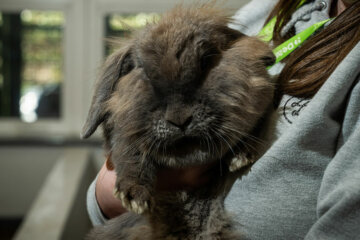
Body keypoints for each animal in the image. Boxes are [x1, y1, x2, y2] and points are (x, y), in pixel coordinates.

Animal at [82, 3, 276, 240]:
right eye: (143, 71)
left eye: (207, 60)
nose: (180, 120)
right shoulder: (124, 136)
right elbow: (129, 153)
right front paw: (134, 196)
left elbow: (259, 125)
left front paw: (241, 155)